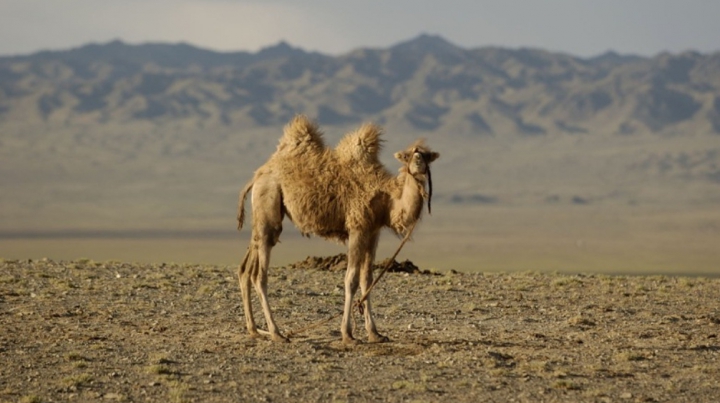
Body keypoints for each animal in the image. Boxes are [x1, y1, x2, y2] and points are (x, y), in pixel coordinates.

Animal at [236, 114, 438, 344]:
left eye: (426, 155)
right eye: (408, 155)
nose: (418, 161)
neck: (387, 200)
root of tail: (257, 175)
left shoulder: (373, 231)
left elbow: (367, 279)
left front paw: (375, 333)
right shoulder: (357, 228)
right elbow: (351, 280)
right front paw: (348, 334)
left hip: (260, 217)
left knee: (245, 268)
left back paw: (254, 330)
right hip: (269, 200)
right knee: (260, 274)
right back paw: (276, 333)